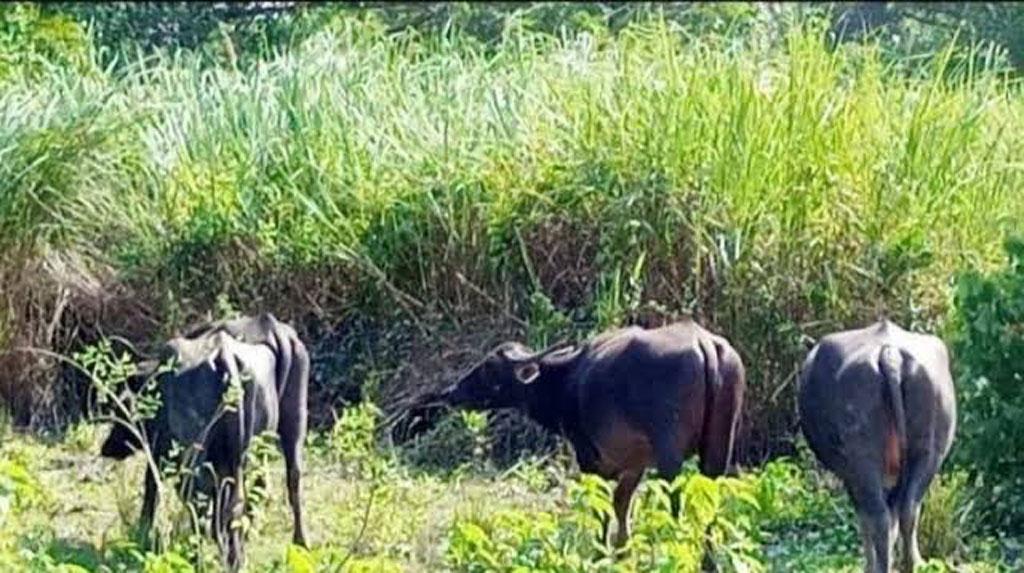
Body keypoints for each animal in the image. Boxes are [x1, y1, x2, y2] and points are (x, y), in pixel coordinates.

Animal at [99, 311, 307, 568]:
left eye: (123, 405)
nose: (107, 447)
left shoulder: (160, 450)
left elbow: (152, 485)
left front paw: (142, 531)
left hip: (197, 452)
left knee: (198, 494)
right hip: (288, 425)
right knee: (283, 482)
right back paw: (285, 546)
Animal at [432, 317, 745, 544]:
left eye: (488, 369)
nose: (452, 392)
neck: (568, 377)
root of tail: (704, 344)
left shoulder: (590, 458)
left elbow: (601, 507)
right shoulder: (634, 465)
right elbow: (621, 505)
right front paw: (621, 548)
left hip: (670, 454)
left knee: (675, 498)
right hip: (719, 446)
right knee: (712, 501)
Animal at [798, 319, 958, 568]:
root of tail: (890, 353)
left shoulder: (850, 478)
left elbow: (865, 520)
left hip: (863, 461)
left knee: (878, 518)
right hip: (929, 452)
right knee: (908, 510)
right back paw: (911, 564)